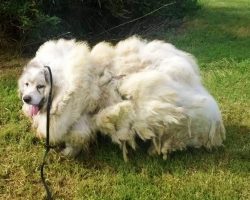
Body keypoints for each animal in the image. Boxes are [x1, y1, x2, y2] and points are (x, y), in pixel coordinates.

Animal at [17, 36, 225, 161]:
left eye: (40, 86)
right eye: (26, 84)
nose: (26, 99)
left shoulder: (79, 120)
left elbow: (75, 139)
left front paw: (68, 153)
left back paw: (156, 150)